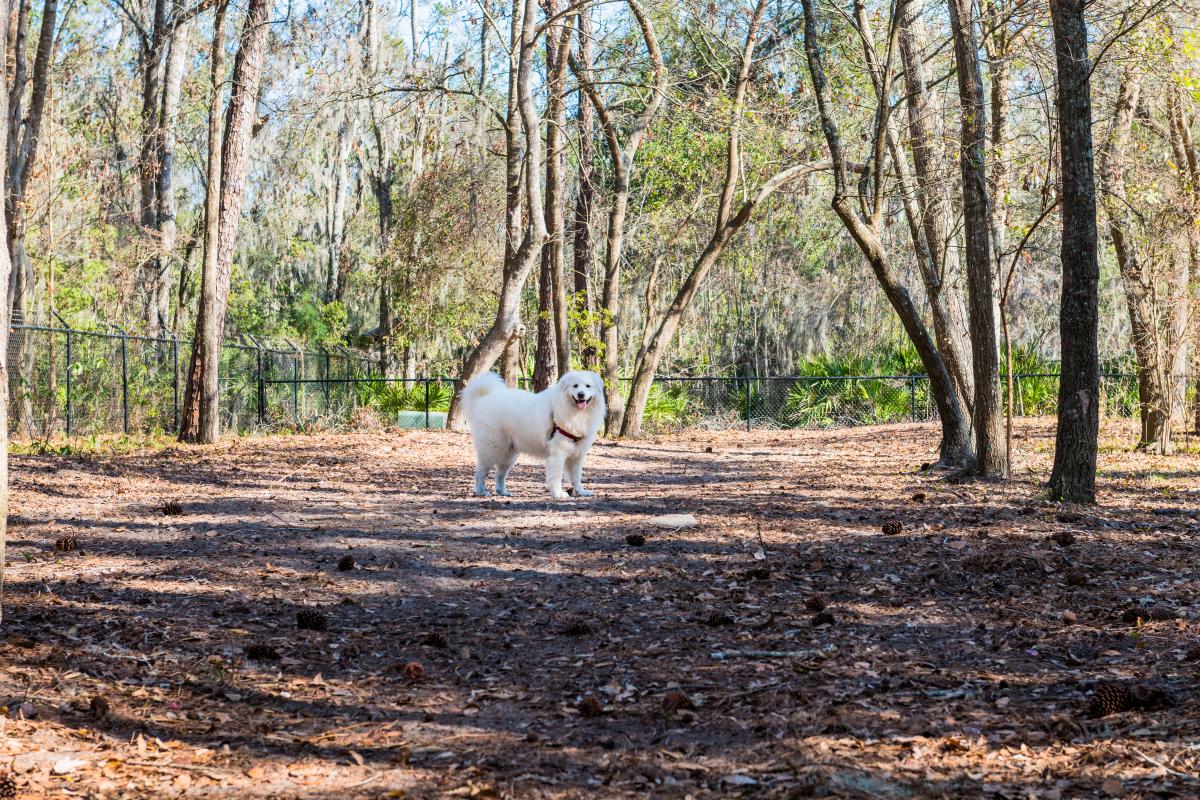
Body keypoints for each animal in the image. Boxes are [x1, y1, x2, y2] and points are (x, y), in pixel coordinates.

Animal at [460, 371, 604, 496]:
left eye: (587, 386)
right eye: (575, 386)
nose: (581, 394)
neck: (575, 413)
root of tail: (483, 398)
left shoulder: (577, 456)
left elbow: (576, 478)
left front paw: (582, 492)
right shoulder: (558, 454)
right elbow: (556, 477)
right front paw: (558, 494)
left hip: (509, 455)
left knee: (500, 474)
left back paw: (503, 492)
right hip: (492, 450)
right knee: (480, 471)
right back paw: (481, 491)